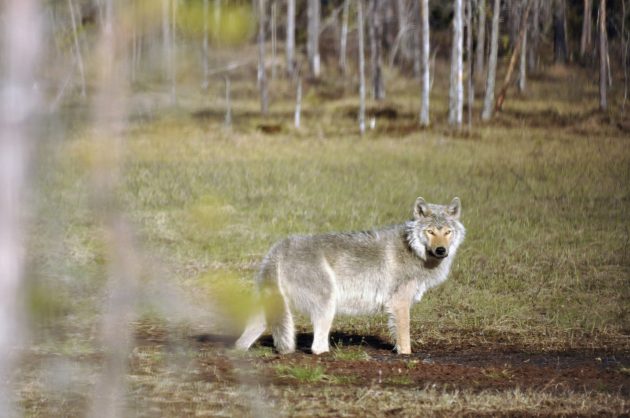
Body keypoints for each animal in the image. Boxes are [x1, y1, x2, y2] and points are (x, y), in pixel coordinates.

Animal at [235, 198, 466, 354]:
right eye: (430, 231)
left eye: (447, 232)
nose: (441, 250)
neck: (413, 250)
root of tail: (279, 248)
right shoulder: (399, 304)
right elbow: (405, 342)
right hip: (327, 305)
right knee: (317, 347)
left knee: (241, 343)